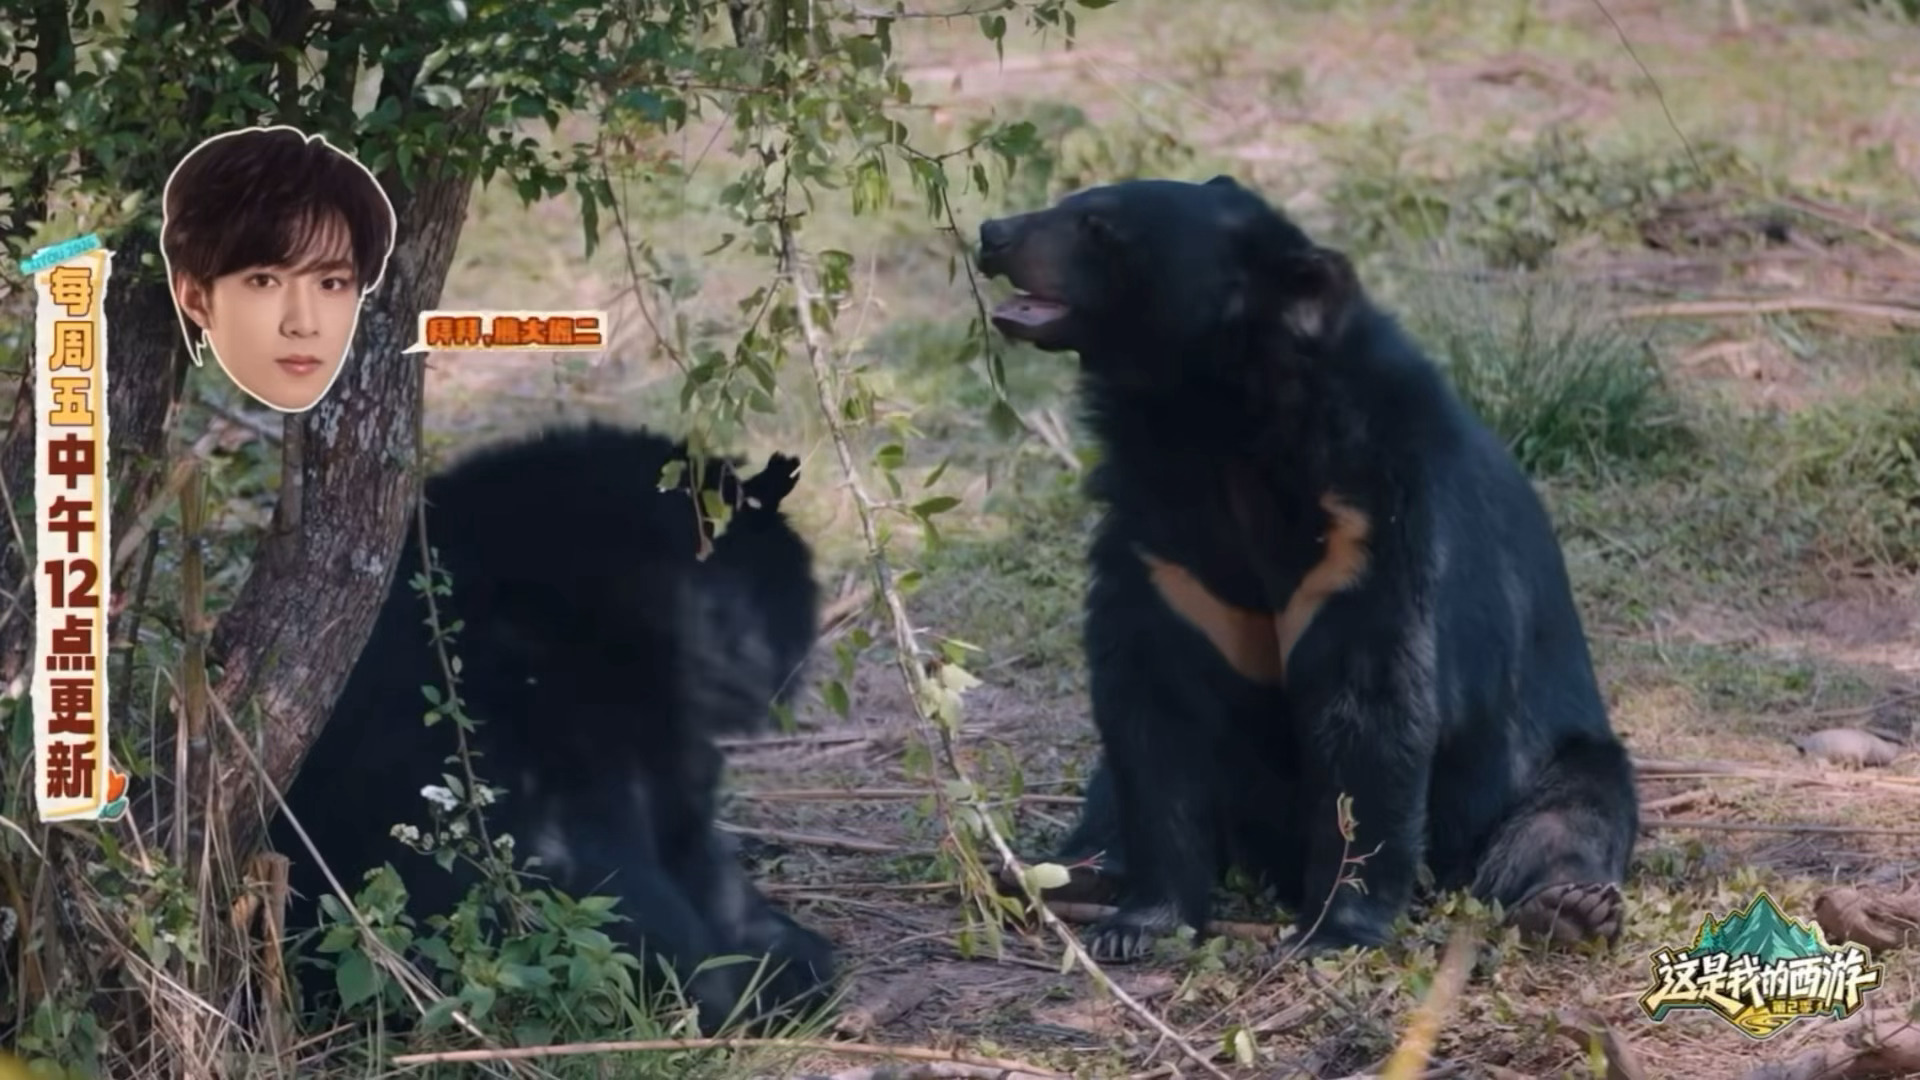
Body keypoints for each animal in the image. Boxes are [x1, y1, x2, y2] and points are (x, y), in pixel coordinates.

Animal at [974, 175, 1640, 963]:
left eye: (1099, 227)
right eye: (1070, 202)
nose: (992, 234)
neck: (1210, 423)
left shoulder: (1373, 531)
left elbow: (1372, 710)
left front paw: (1332, 932)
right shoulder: (1160, 551)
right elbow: (1150, 712)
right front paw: (1138, 923)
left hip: (1541, 760)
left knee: (1566, 817)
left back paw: (1567, 907)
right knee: (1108, 789)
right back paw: (1059, 873)